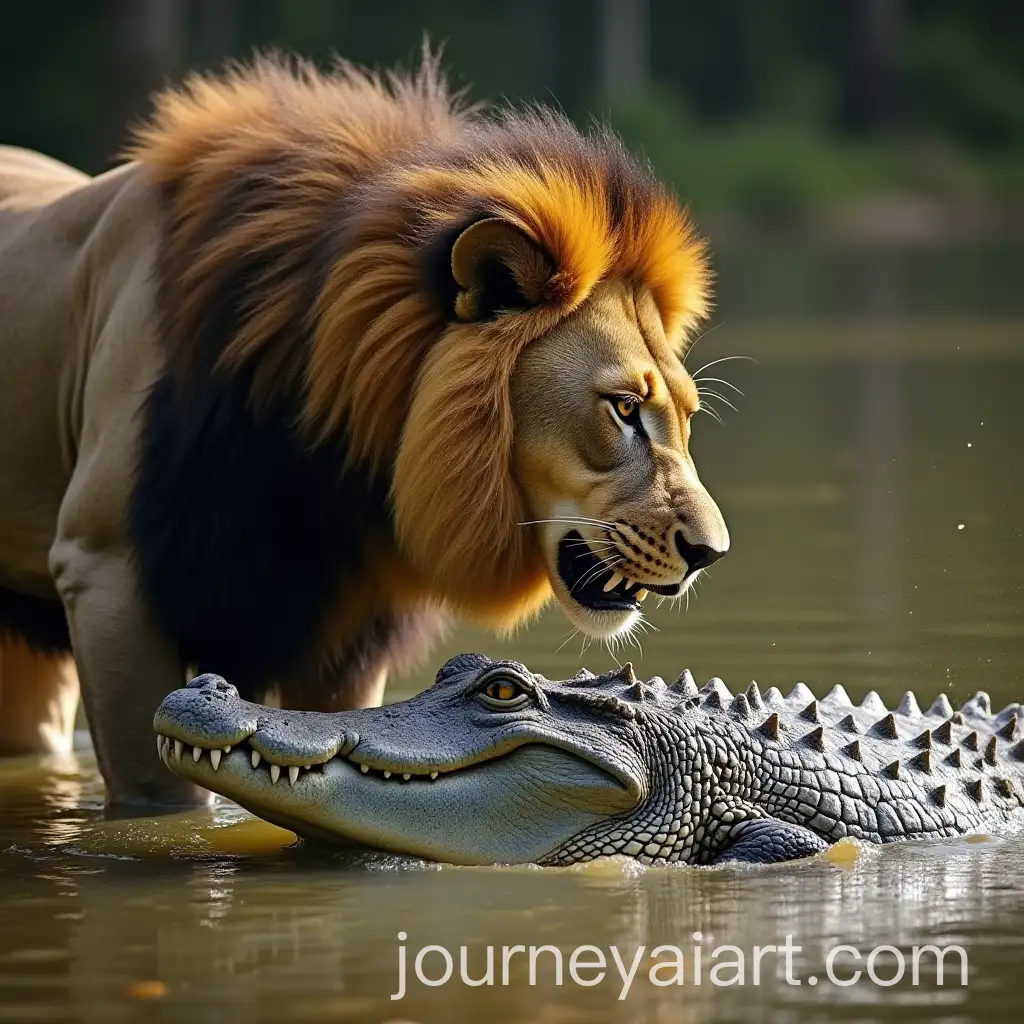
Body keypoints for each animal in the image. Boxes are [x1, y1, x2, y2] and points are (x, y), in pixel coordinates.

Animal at [0, 54, 728, 806]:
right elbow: (159, 788)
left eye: (685, 416)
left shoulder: (347, 621)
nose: (710, 553)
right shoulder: (107, 570)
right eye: (623, 408)